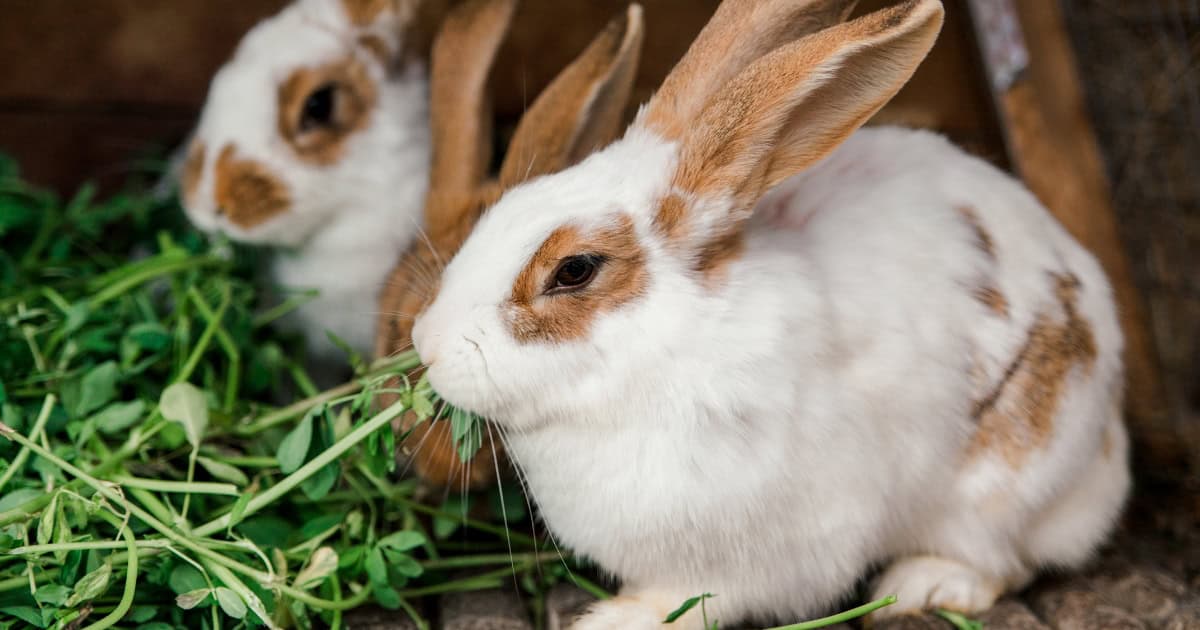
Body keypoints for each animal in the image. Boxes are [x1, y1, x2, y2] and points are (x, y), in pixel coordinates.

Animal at [408, 0, 1131, 627]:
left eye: (575, 270)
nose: (427, 344)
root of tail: (1111, 450)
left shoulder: (768, 550)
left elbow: (699, 600)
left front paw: (615, 618)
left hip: (1003, 482)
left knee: (1006, 558)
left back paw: (921, 586)